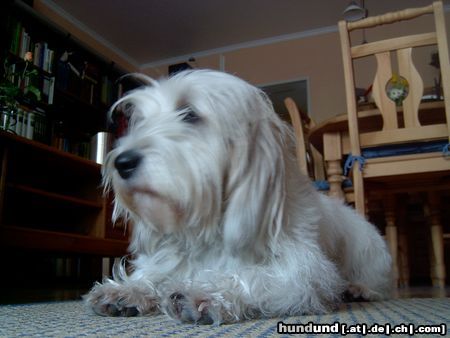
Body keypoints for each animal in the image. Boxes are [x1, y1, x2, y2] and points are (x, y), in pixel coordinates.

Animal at [85, 69, 394, 324]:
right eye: (140, 121)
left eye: (190, 113)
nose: (121, 163)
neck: (209, 226)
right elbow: (156, 271)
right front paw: (130, 289)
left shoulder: (306, 270)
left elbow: (257, 278)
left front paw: (207, 292)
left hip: (369, 253)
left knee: (378, 284)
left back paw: (360, 289)